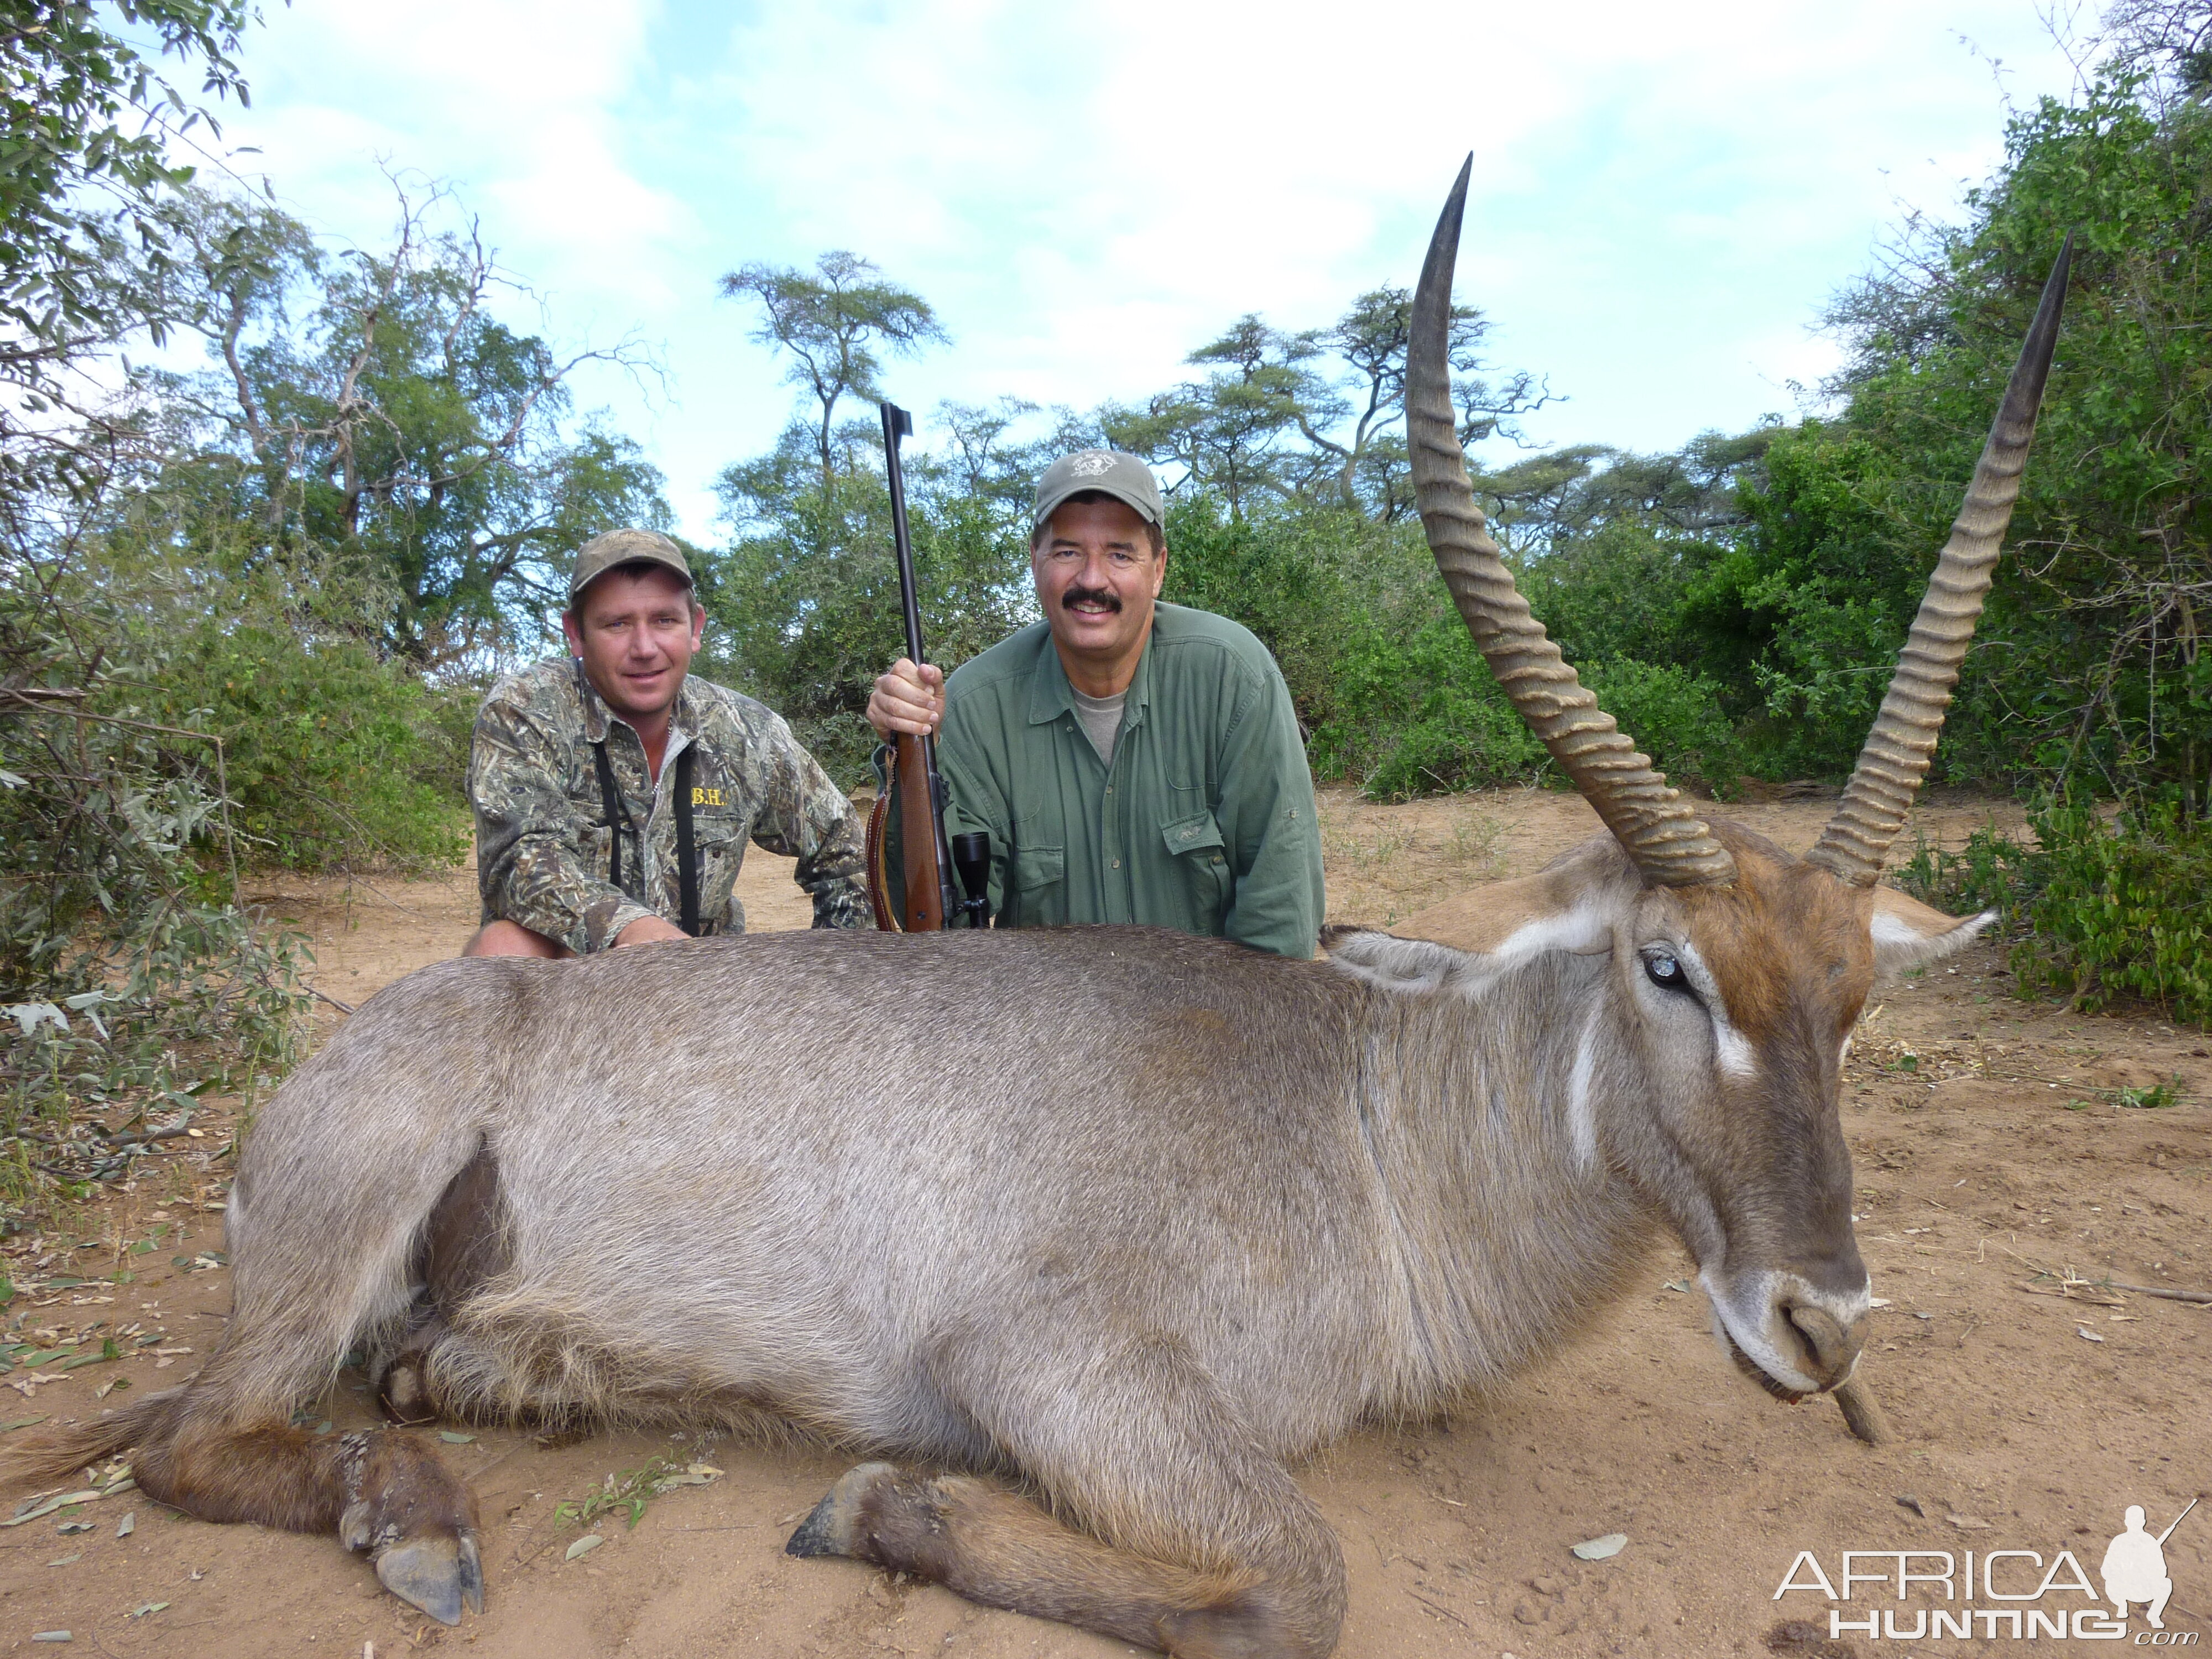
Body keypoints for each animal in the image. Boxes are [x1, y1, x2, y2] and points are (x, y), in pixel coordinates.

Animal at [8, 159, 2062, 1659]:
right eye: (1666, 966)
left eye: (1854, 1004)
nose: (1823, 1322)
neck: (1368, 1123)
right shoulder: (1047, 1365)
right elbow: (1294, 1582)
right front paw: (876, 1504)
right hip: (342, 1231)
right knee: (197, 1438)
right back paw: (420, 1521)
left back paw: (489, 1393)